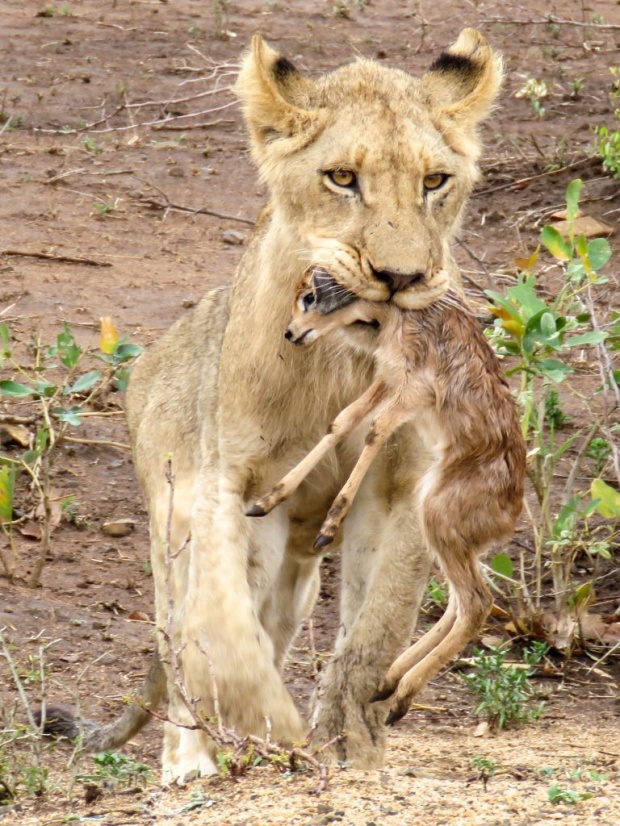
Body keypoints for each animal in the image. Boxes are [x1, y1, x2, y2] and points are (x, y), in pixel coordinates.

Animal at [249, 268, 524, 720]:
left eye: (309, 297)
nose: (290, 333)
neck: (395, 317)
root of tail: (509, 514)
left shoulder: (413, 388)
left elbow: (374, 432)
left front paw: (329, 526)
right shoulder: (387, 377)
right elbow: (342, 421)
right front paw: (266, 500)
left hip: (435, 517)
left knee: (476, 604)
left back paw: (401, 698)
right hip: (453, 543)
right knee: (460, 603)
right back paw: (386, 682)